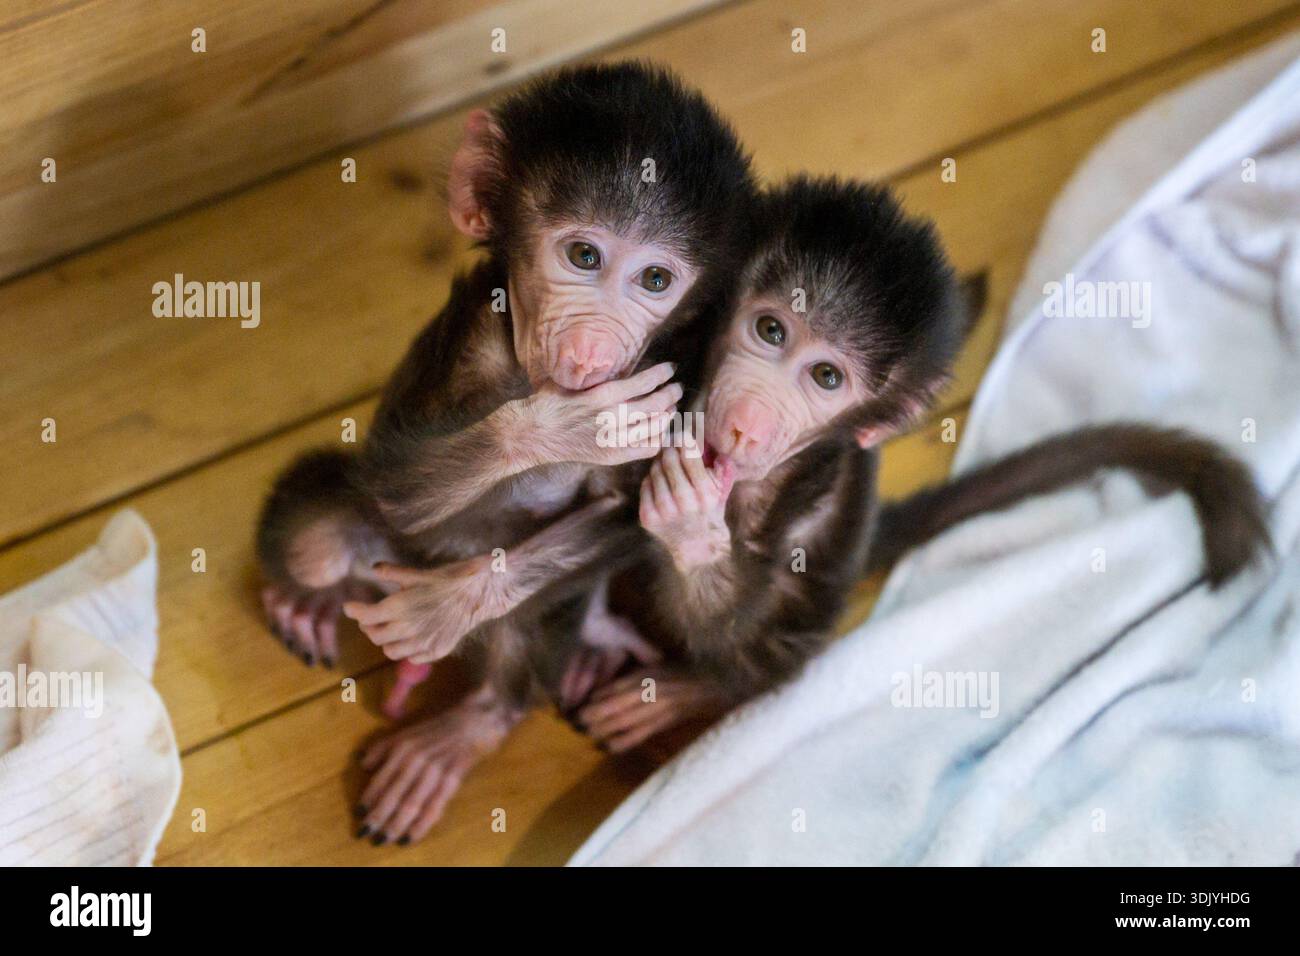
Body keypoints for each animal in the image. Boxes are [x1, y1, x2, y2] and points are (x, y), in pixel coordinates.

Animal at [253, 62, 758, 843]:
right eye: (583, 256)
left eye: (654, 281)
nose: (593, 347)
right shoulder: (469, 340)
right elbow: (394, 481)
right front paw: (565, 425)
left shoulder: (679, 376)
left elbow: (636, 513)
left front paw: (447, 606)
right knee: (319, 537)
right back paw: (302, 600)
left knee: (526, 627)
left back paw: (470, 724)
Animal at [575, 175, 1270, 752]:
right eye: (770, 331)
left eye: (826, 378)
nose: (747, 418)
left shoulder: (823, 502)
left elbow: (742, 623)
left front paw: (691, 532)